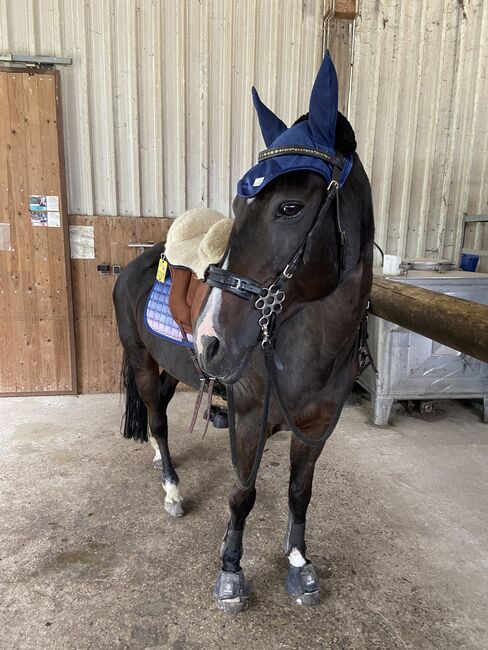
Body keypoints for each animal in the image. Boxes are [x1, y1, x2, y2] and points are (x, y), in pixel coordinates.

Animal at [114, 53, 374, 612]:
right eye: (238, 209)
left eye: (290, 207)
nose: (213, 342)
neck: (308, 349)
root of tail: (137, 262)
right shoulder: (248, 420)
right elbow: (243, 494)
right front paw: (231, 572)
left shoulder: (319, 426)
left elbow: (300, 492)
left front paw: (298, 563)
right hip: (143, 360)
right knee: (158, 421)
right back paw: (171, 488)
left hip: (175, 368)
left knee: (156, 408)